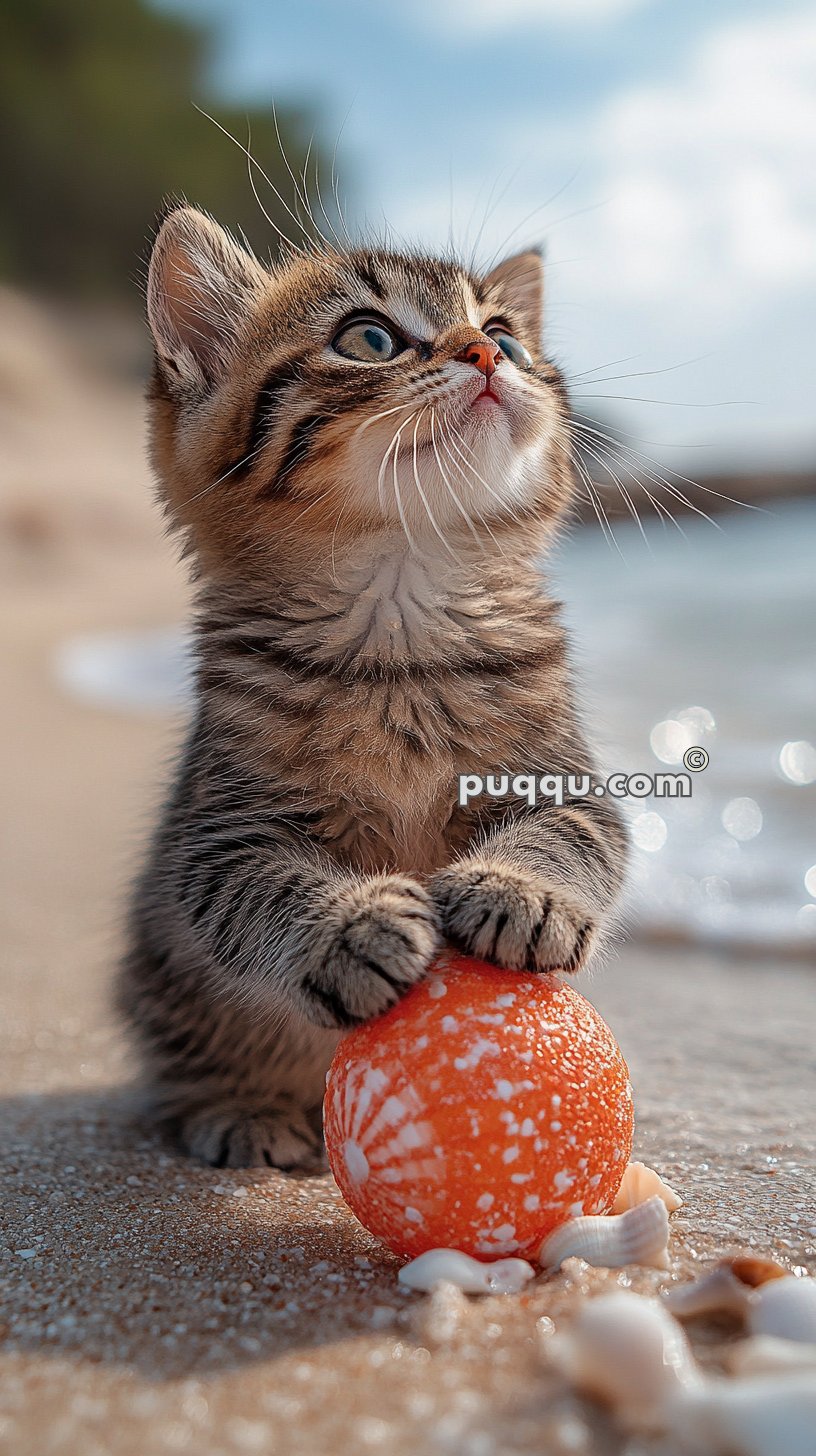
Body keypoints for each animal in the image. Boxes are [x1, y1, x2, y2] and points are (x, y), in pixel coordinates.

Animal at [119, 202, 632, 1170]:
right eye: (369, 338)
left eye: (506, 333)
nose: (486, 353)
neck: (402, 631)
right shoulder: (224, 832)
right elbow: (259, 890)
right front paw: (348, 927)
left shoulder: (570, 785)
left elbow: (572, 838)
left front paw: (523, 889)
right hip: (163, 967)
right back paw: (241, 1107)